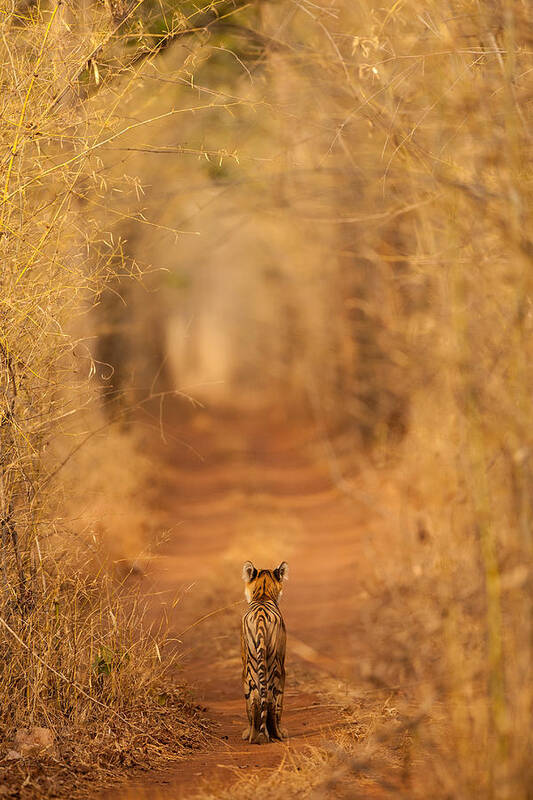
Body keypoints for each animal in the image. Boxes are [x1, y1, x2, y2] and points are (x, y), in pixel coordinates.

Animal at [240, 564, 286, 744]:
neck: (263, 595)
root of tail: (260, 617)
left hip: (250, 669)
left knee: (254, 701)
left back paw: (253, 736)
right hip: (275, 667)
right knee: (272, 701)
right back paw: (274, 734)